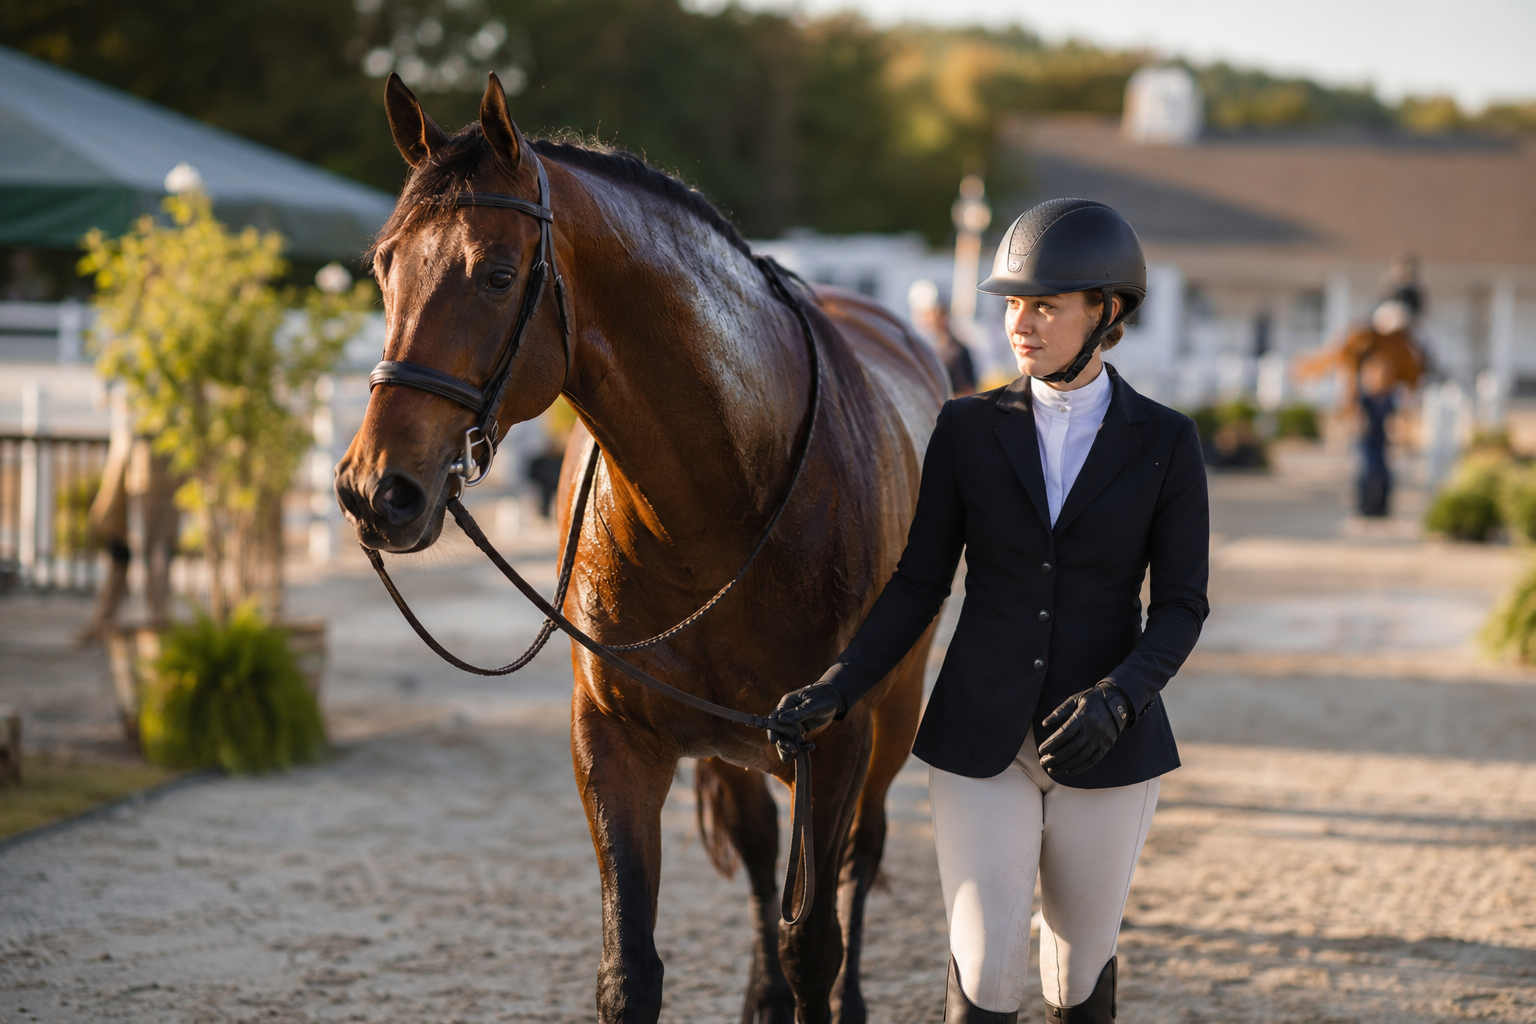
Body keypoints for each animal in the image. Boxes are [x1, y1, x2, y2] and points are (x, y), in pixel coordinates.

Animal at [335, 72, 948, 1023]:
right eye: (384, 266)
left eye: (498, 274)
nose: (376, 490)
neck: (715, 511)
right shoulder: (615, 741)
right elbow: (630, 970)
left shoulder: (837, 741)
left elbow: (814, 939)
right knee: (763, 849)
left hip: (894, 711)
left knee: (861, 856)